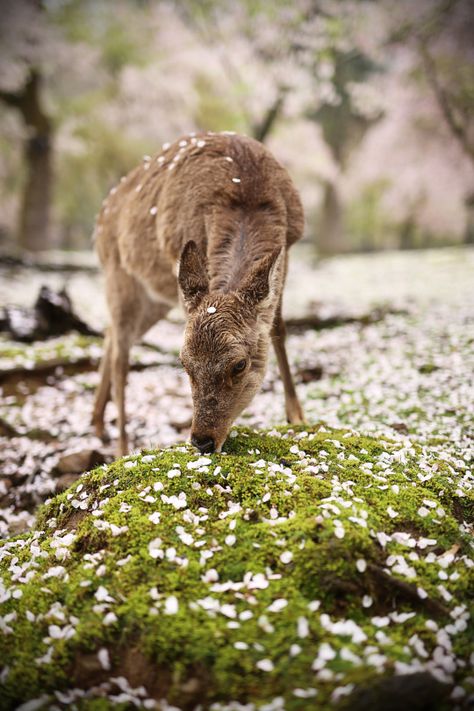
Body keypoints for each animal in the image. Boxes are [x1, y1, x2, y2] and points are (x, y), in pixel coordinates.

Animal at [92, 133, 304, 456]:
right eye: (184, 363)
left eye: (239, 364)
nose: (202, 441)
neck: (246, 191)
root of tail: (98, 224)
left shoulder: (288, 251)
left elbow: (278, 329)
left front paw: (298, 418)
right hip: (119, 275)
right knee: (120, 354)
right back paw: (121, 447)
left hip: (156, 297)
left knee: (110, 334)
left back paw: (97, 424)